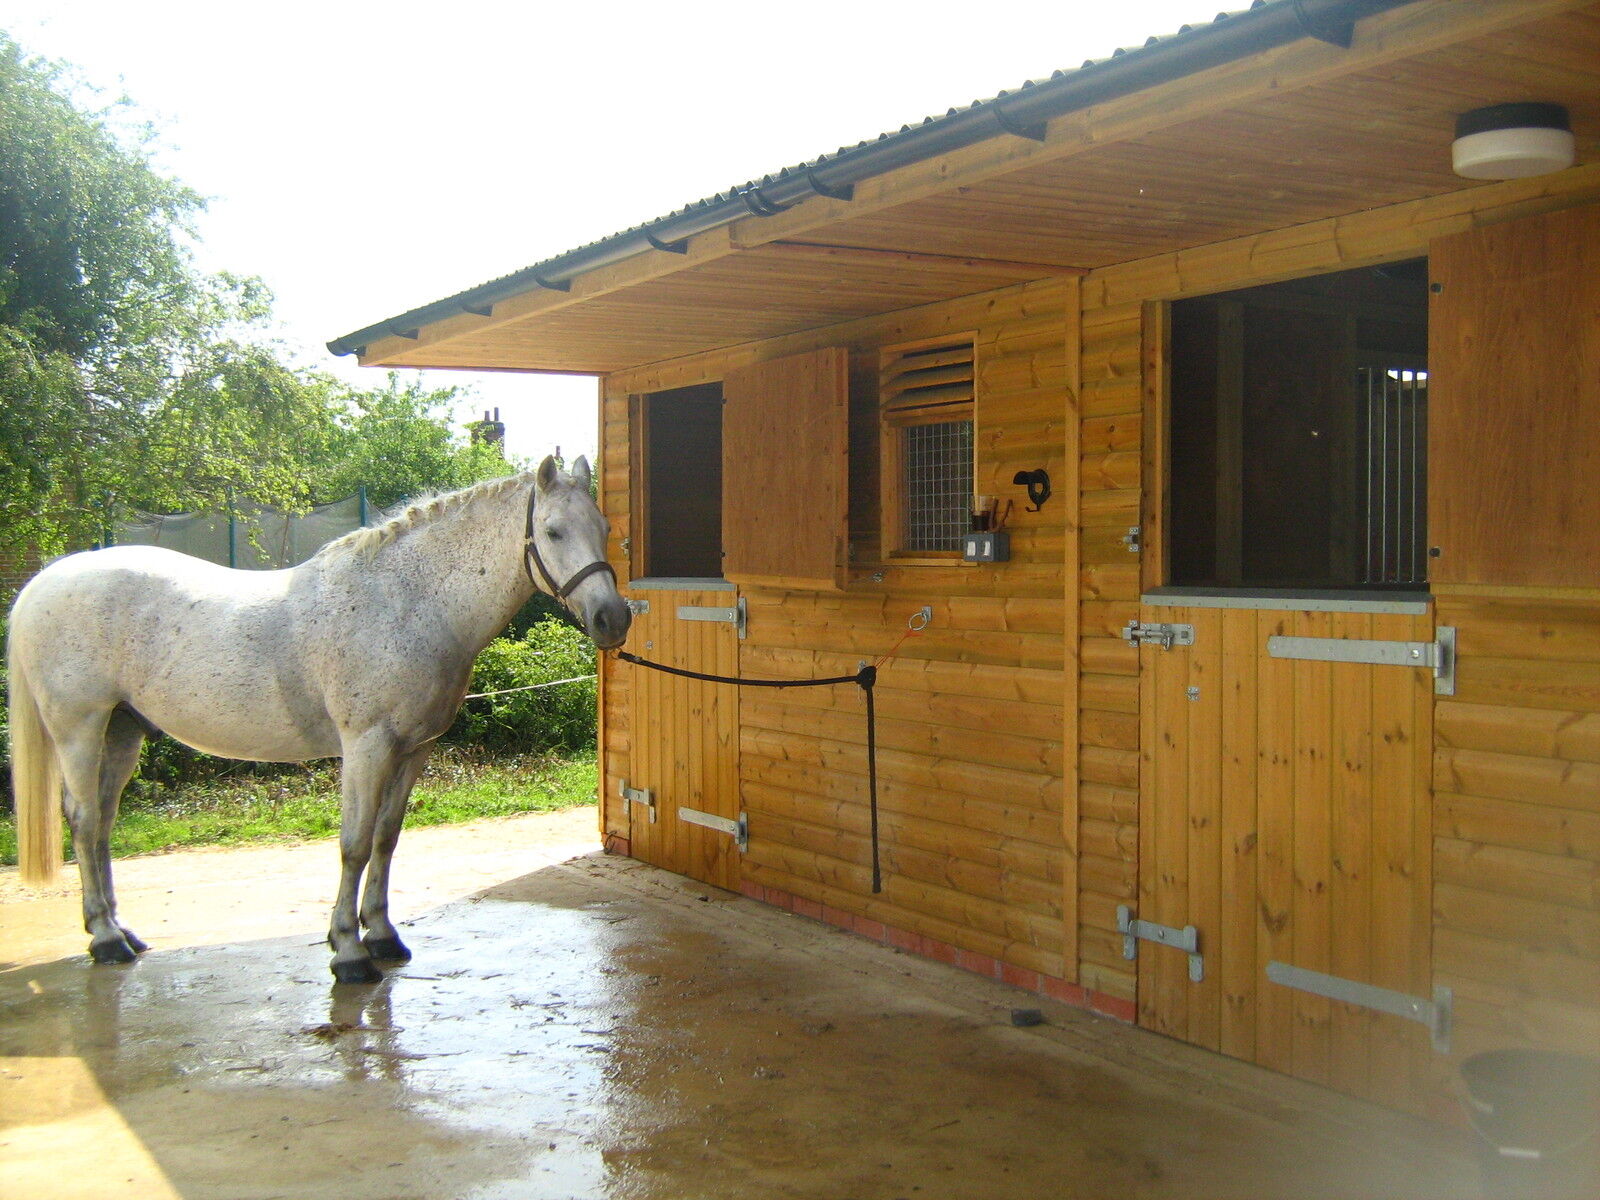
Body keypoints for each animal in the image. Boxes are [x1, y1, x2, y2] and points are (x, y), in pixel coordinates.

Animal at [7, 460, 630, 985]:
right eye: (552, 531)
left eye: (602, 526)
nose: (614, 619)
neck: (409, 602)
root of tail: (41, 584)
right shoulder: (367, 747)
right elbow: (354, 844)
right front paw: (349, 951)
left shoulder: (413, 749)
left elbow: (386, 838)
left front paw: (383, 935)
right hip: (79, 729)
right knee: (84, 819)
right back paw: (106, 940)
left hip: (122, 730)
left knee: (103, 823)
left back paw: (119, 931)